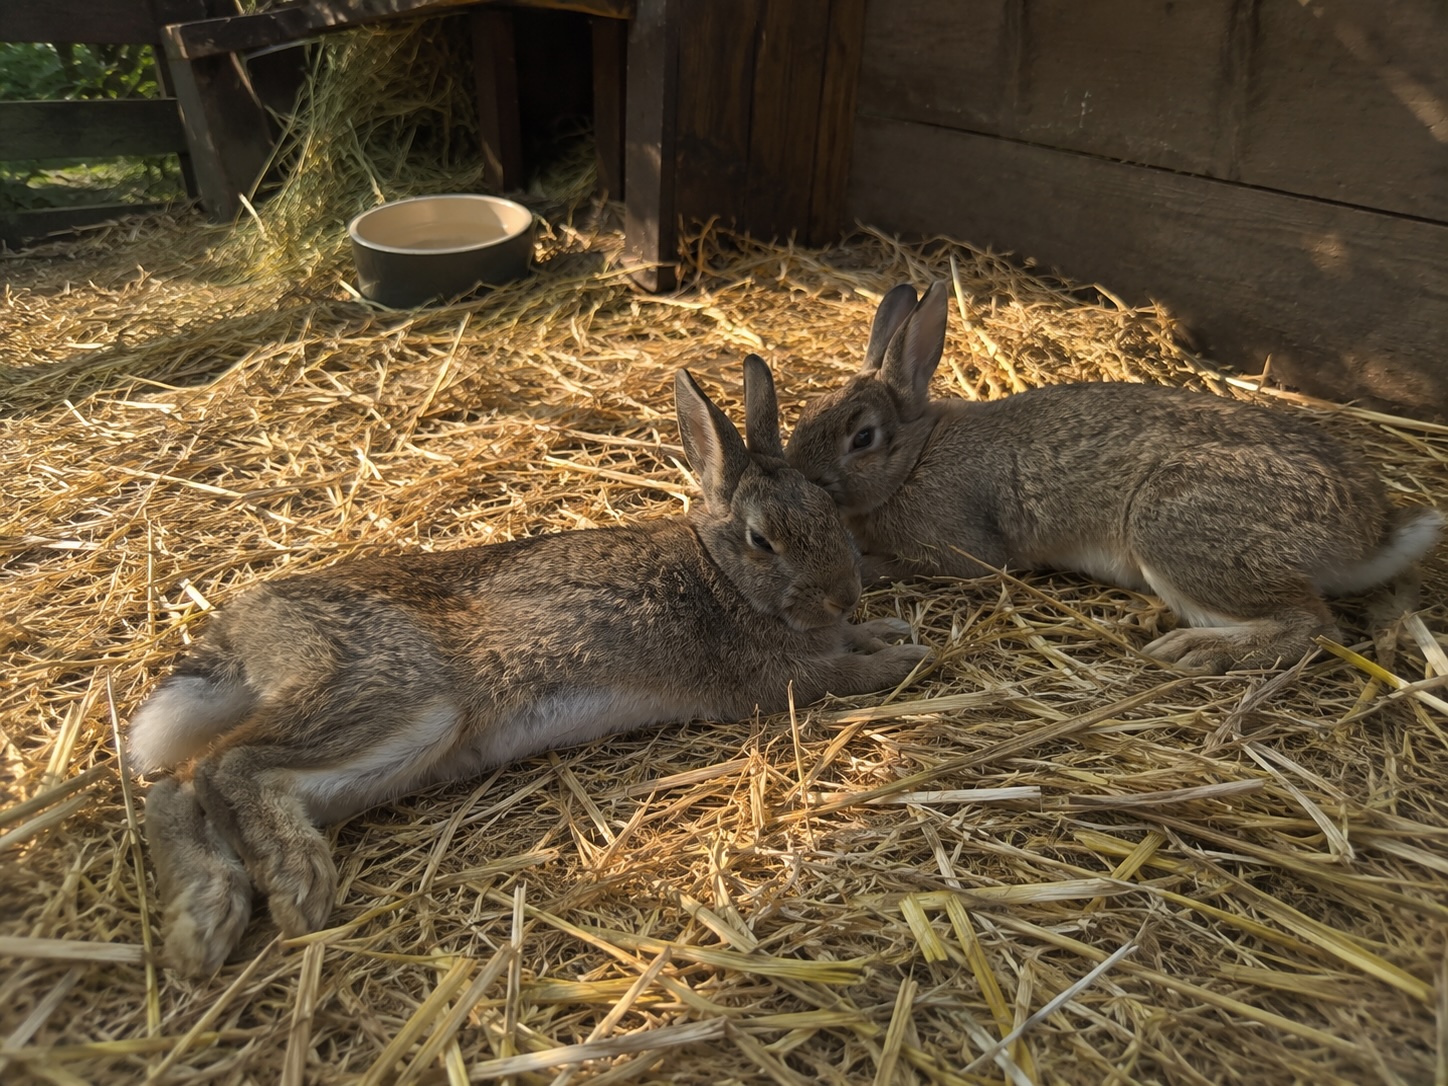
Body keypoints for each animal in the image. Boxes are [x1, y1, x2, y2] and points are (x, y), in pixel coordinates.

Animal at [129, 355, 931, 976]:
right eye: (765, 540)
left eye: (826, 507)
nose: (844, 592)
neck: (723, 575)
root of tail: (248, 629)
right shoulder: (773, 679)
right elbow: (842, 675)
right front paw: (909, 656)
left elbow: (851, 643)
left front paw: (887, 629)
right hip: (401, 704)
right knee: (223, 766)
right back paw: (295, 885)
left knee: (175, 790)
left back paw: (203, 923)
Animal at [785, 280, 1442, 674]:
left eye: (861, 438)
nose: (800, 476)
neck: (916, 456)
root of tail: (1371, 533)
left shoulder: (962, 552)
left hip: (1175, 527)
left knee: (1309, 625)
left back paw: (1191, 650)